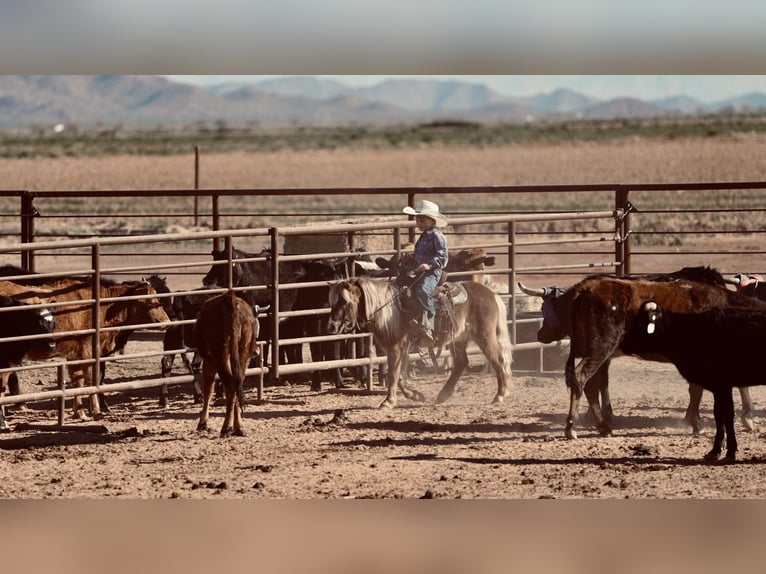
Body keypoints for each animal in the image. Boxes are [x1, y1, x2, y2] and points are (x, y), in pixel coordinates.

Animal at [327, 276, 513, 409]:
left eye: (345, 301)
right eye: (333, 301)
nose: (332, 326)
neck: (389, 310)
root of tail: (492, 295)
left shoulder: (396, 346)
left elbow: (393, 374)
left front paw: (388, 402)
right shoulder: (402, 347)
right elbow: (400, 376)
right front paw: (415, 395)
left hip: (485, 337)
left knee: (499, 360)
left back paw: (500, 396)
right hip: (459, 339)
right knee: (462, 363)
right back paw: (443, 395)